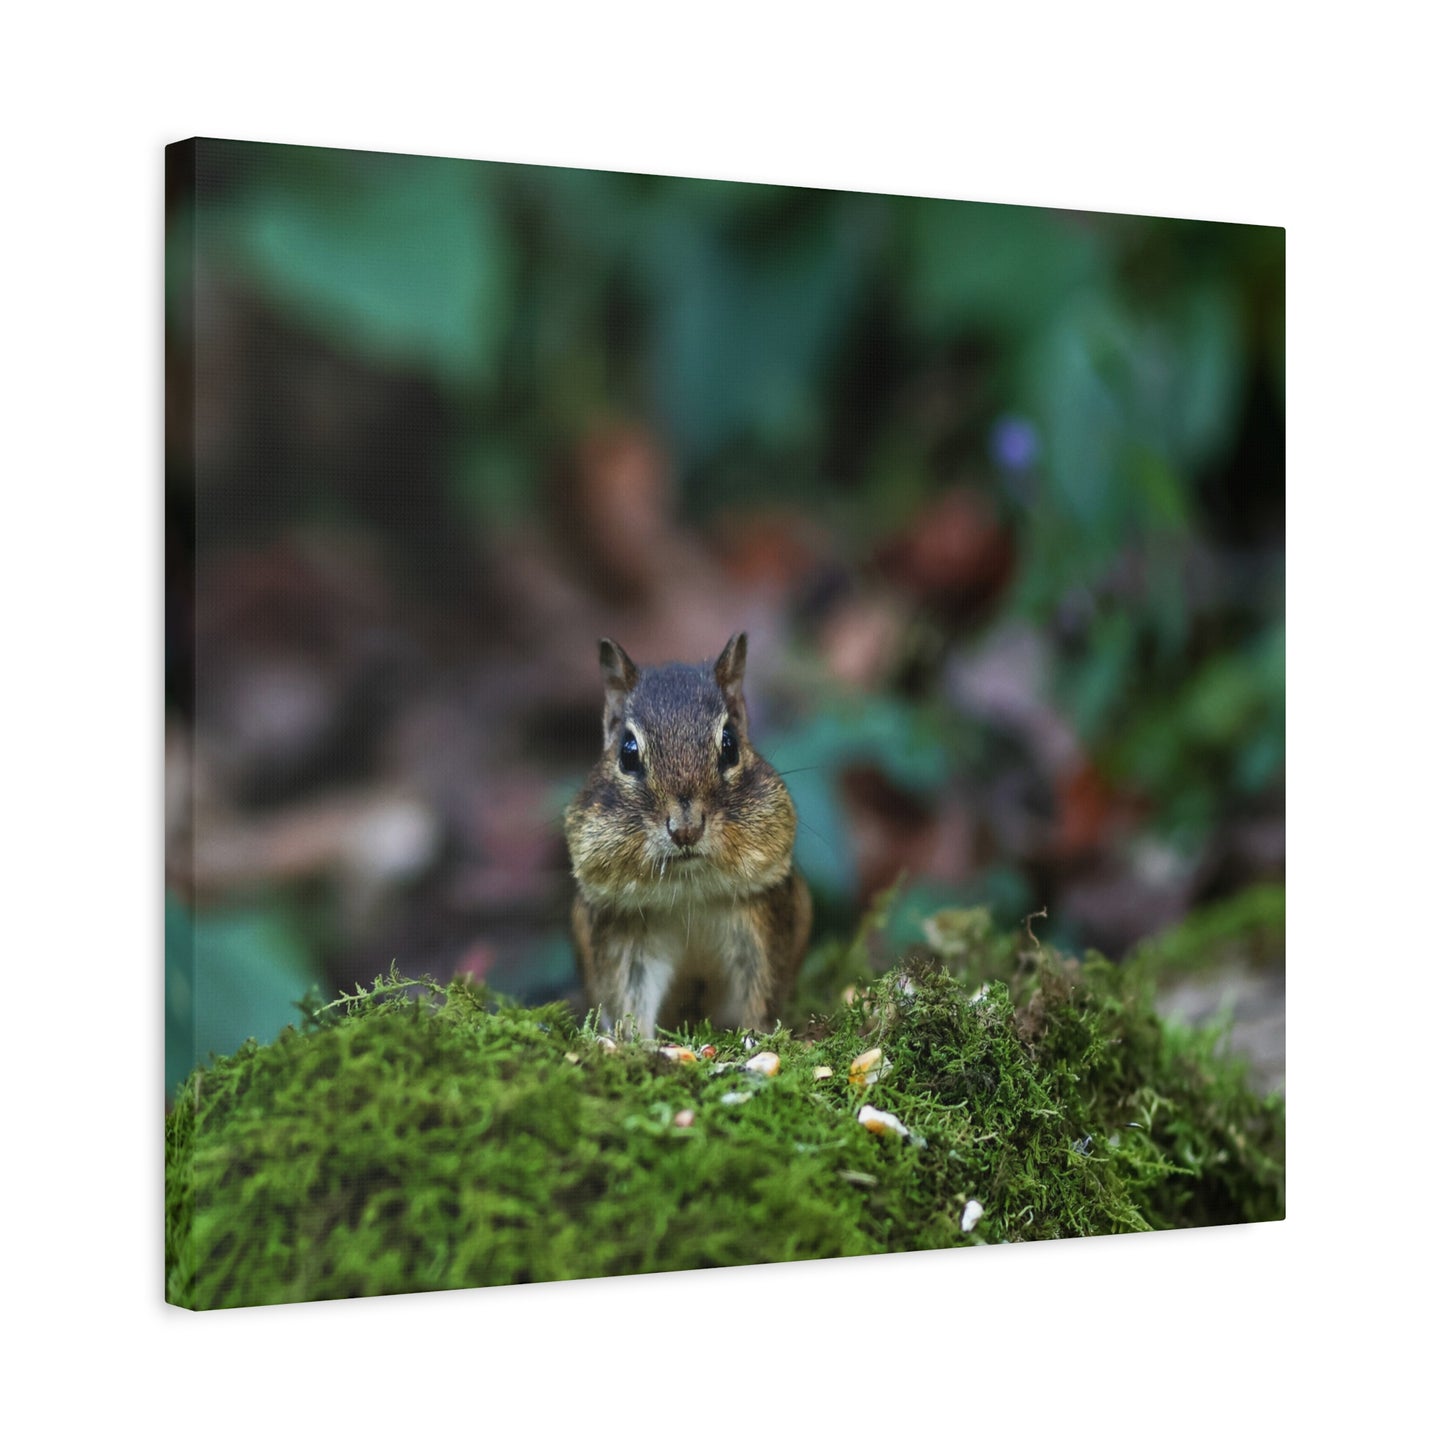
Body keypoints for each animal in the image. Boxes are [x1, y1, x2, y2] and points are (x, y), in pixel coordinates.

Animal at [564, 633, 811, 1039]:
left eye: (729, 745)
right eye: (627, 753)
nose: (686, 829)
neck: (688, 895)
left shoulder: (762, 918)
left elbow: (762, 990)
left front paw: (757, 1037)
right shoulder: (624, 936)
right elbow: (629, 998)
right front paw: (634, 1043)